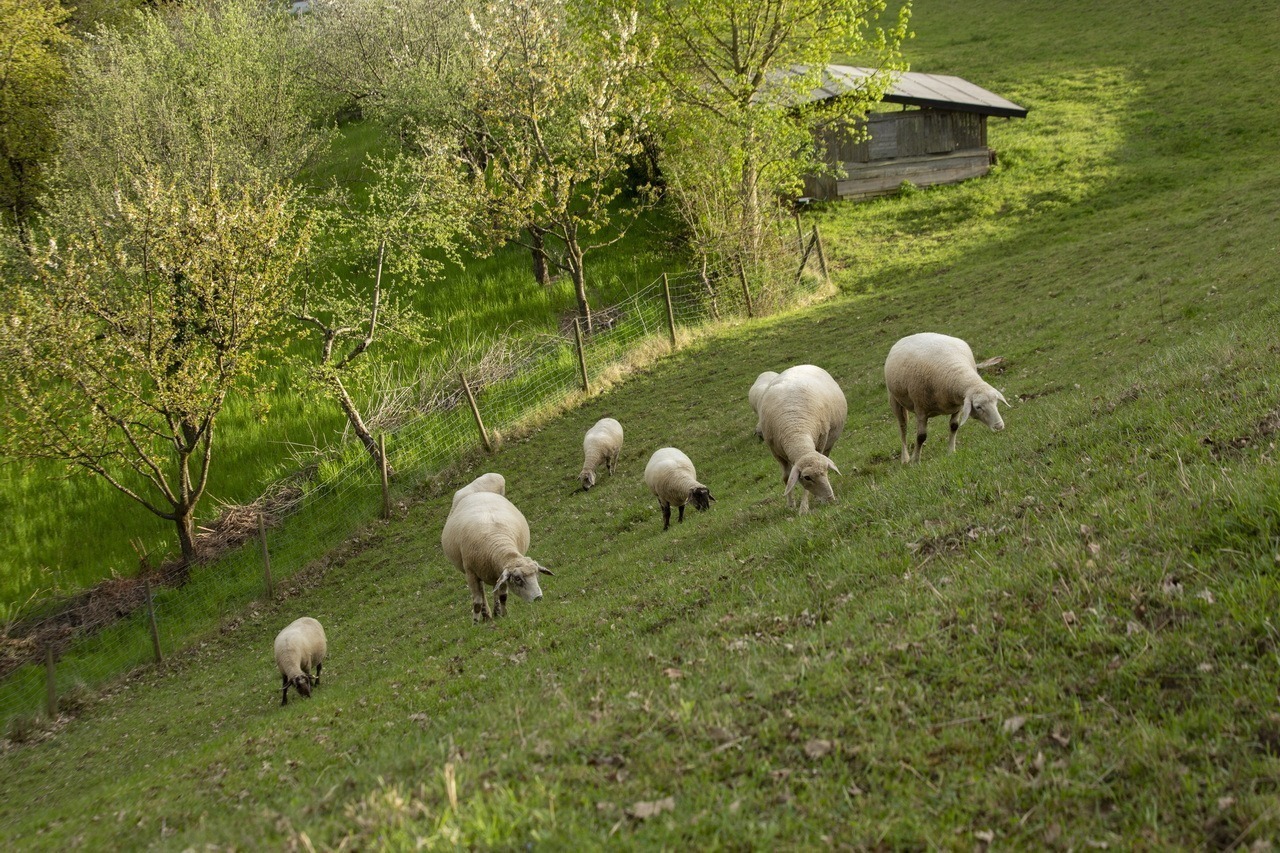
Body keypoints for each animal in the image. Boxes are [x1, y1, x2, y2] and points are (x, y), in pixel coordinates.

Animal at [442, 481, 552, 622]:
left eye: (537, 574)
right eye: (517, 579)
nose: (538, 598)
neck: (499, 544)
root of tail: (478, 492)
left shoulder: (501, 572)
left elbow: (503, 595)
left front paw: (504, 614)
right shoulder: (470, 573)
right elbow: (477, 602)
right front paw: (475, 623)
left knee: (494, 589)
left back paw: (496, 611)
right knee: (482, 593)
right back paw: (486, 616)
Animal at [752, 361, 844, 507]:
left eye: (826, 470)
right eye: (807, 477)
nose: (830, 499)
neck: (796, 430)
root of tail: (802, 365)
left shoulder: (820, 442)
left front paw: (808, 503)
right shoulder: (776, 452)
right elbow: (786, 477)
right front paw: (791, 505)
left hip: (829, 442)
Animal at [885, 327, 1003, 461]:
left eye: (996, 402)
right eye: (978, 407)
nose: (999, 426)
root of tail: (908, 336)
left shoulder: (959, 406)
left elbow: (954, 426)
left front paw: (951, 452)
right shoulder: (920, 409)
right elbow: (921, 436)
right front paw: (915, 460)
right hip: (894, 399)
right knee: (902, 427)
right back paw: (905, 458)